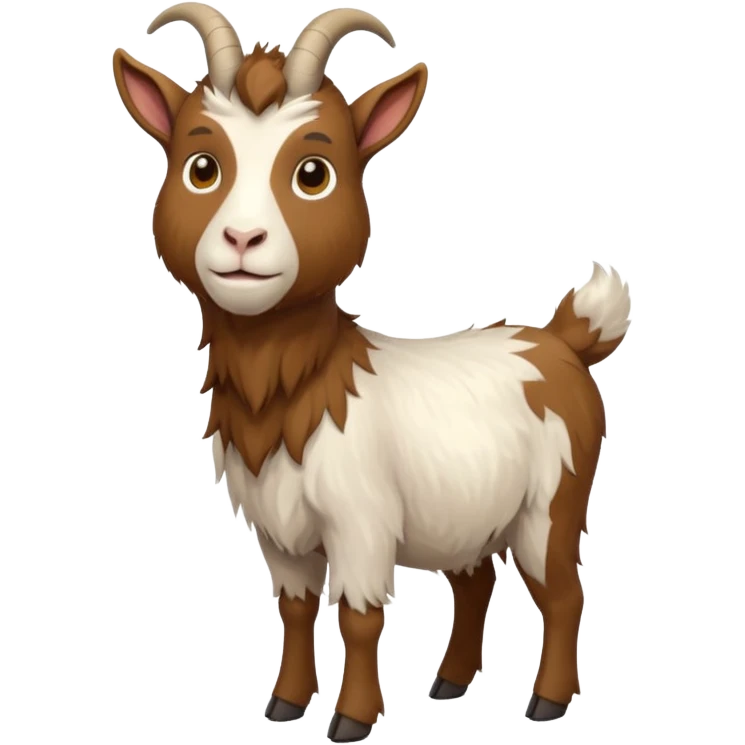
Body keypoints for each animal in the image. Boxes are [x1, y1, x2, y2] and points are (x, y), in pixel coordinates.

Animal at [113, 2, 633, 741]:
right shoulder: (278, 530)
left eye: (314, 172)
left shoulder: (360, 520)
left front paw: (351, 719)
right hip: (467, 510)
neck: (304, 386)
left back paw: (548, 701)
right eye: (201, 165)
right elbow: (296, 610)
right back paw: (449, 682)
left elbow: (359, 618)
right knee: (475, 580)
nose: (242, 240)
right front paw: (285, 703)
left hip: (551, 502)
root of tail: (561, 340)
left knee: (563, 593)